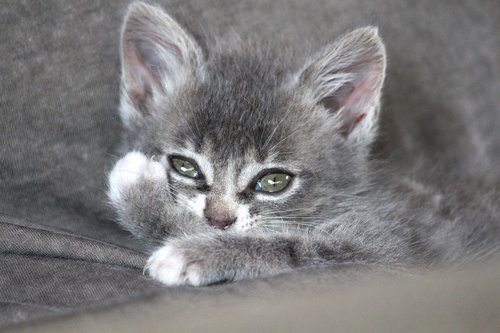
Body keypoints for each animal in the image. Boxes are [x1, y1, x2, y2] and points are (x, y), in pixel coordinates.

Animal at [107, 0, 498, 286]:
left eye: (273, 181)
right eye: (185, 166)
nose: (219, 219)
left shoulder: (398, 251)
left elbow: (289, 247)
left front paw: (189, 249)